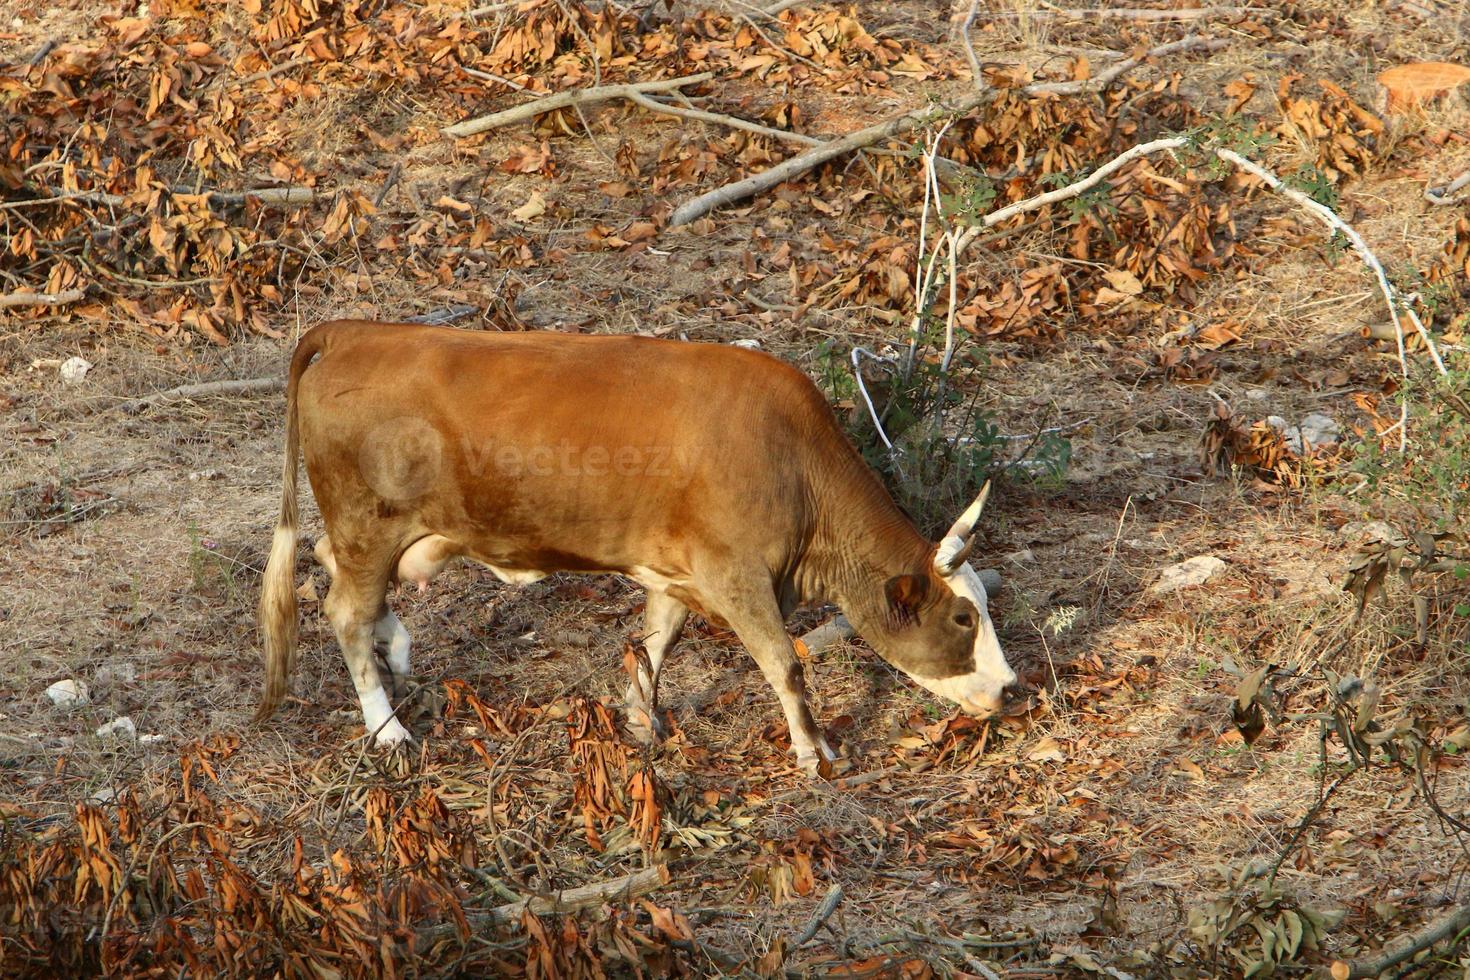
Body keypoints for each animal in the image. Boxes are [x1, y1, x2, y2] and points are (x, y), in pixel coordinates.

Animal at [255, 321, 1011, 775]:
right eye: (962, 617)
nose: (1011, 688)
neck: (793, 460)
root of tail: (357, 331)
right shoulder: (737, 575)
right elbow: (784, 665)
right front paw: (816, 751)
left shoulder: (678, 573)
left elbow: (656, 644)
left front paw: (642, 723)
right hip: (369, 522)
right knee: (345, 610)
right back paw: (386, 728)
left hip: (378, 533)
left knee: (332, 567)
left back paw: (399, 647)